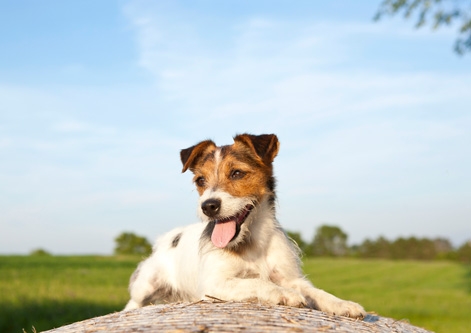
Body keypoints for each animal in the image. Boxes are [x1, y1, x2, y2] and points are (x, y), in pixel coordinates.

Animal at [123, 133, 366, 316]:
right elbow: (256, 282)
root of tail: (166, 238)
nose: (208, 206)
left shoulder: (290, 278)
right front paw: (284, 294)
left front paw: (343, 304)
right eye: (200, 180)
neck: (253, 240)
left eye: (237, 173)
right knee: (133, 303)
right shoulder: (214, 284)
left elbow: (317, 292)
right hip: (145, 285)